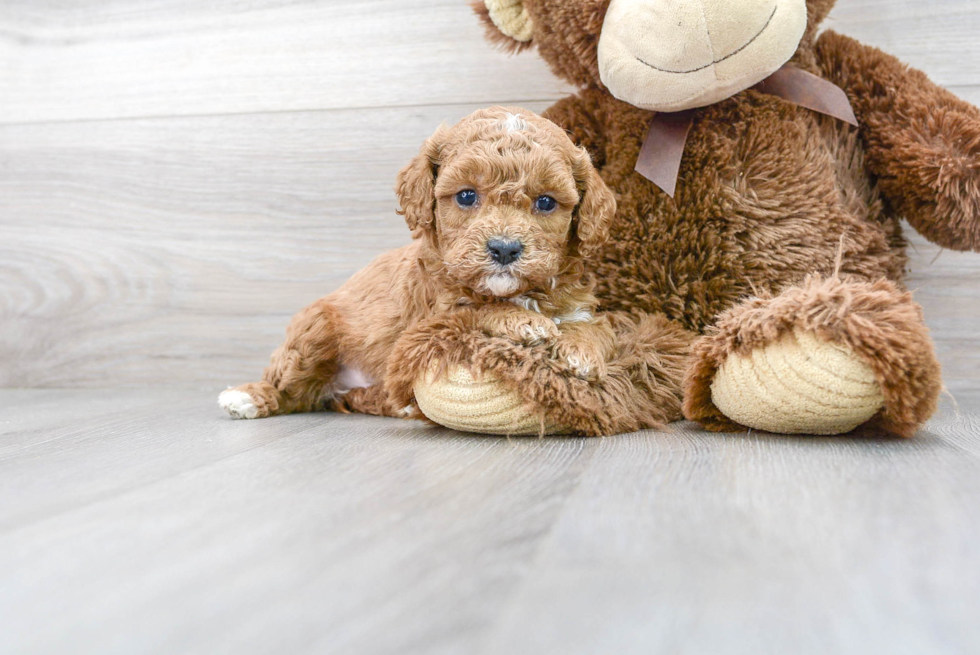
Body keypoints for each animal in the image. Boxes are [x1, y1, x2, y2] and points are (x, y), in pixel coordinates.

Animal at [221, 107, 616, 420]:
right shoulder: (432, 314)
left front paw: (580, 352)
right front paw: (523, 322)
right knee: (291, 389)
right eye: (467, 196)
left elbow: (592, 328)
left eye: (546, 202)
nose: (504, 249)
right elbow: (476, 309)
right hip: (314, 330)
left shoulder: (578, 308)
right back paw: (247, 397)